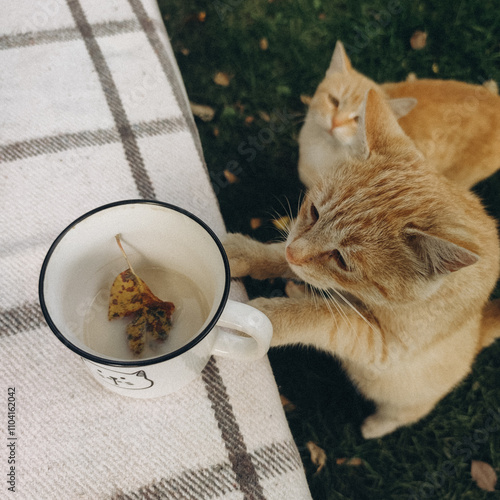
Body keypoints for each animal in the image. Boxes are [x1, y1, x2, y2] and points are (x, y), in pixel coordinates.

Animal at [226, 89, 500, 438]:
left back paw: (376, 427)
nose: (294, 254)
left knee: (407, 413)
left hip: (404, 400)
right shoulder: (299, 250)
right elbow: (283, 257)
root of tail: (478, 336)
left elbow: (323, 318)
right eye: (313, 212)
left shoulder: (384, 346)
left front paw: (267, 316)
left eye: (342, 260)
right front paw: (242, 252)